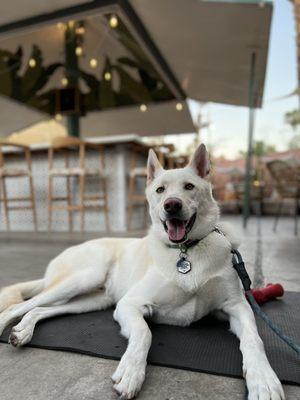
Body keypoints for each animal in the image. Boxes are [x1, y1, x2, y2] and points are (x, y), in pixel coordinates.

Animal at [0, 145, 284, 400]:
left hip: (93, 300)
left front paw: (264, 380)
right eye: (160, 190)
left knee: (39, 309)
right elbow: (144, 333)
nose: (171, 205)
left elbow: (254, 339)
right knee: (16, 307)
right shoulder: (129, 304)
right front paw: (131, 372)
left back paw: (22, 331)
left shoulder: (237, 306)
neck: (186, 253)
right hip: (83, 278)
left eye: (189, 187)